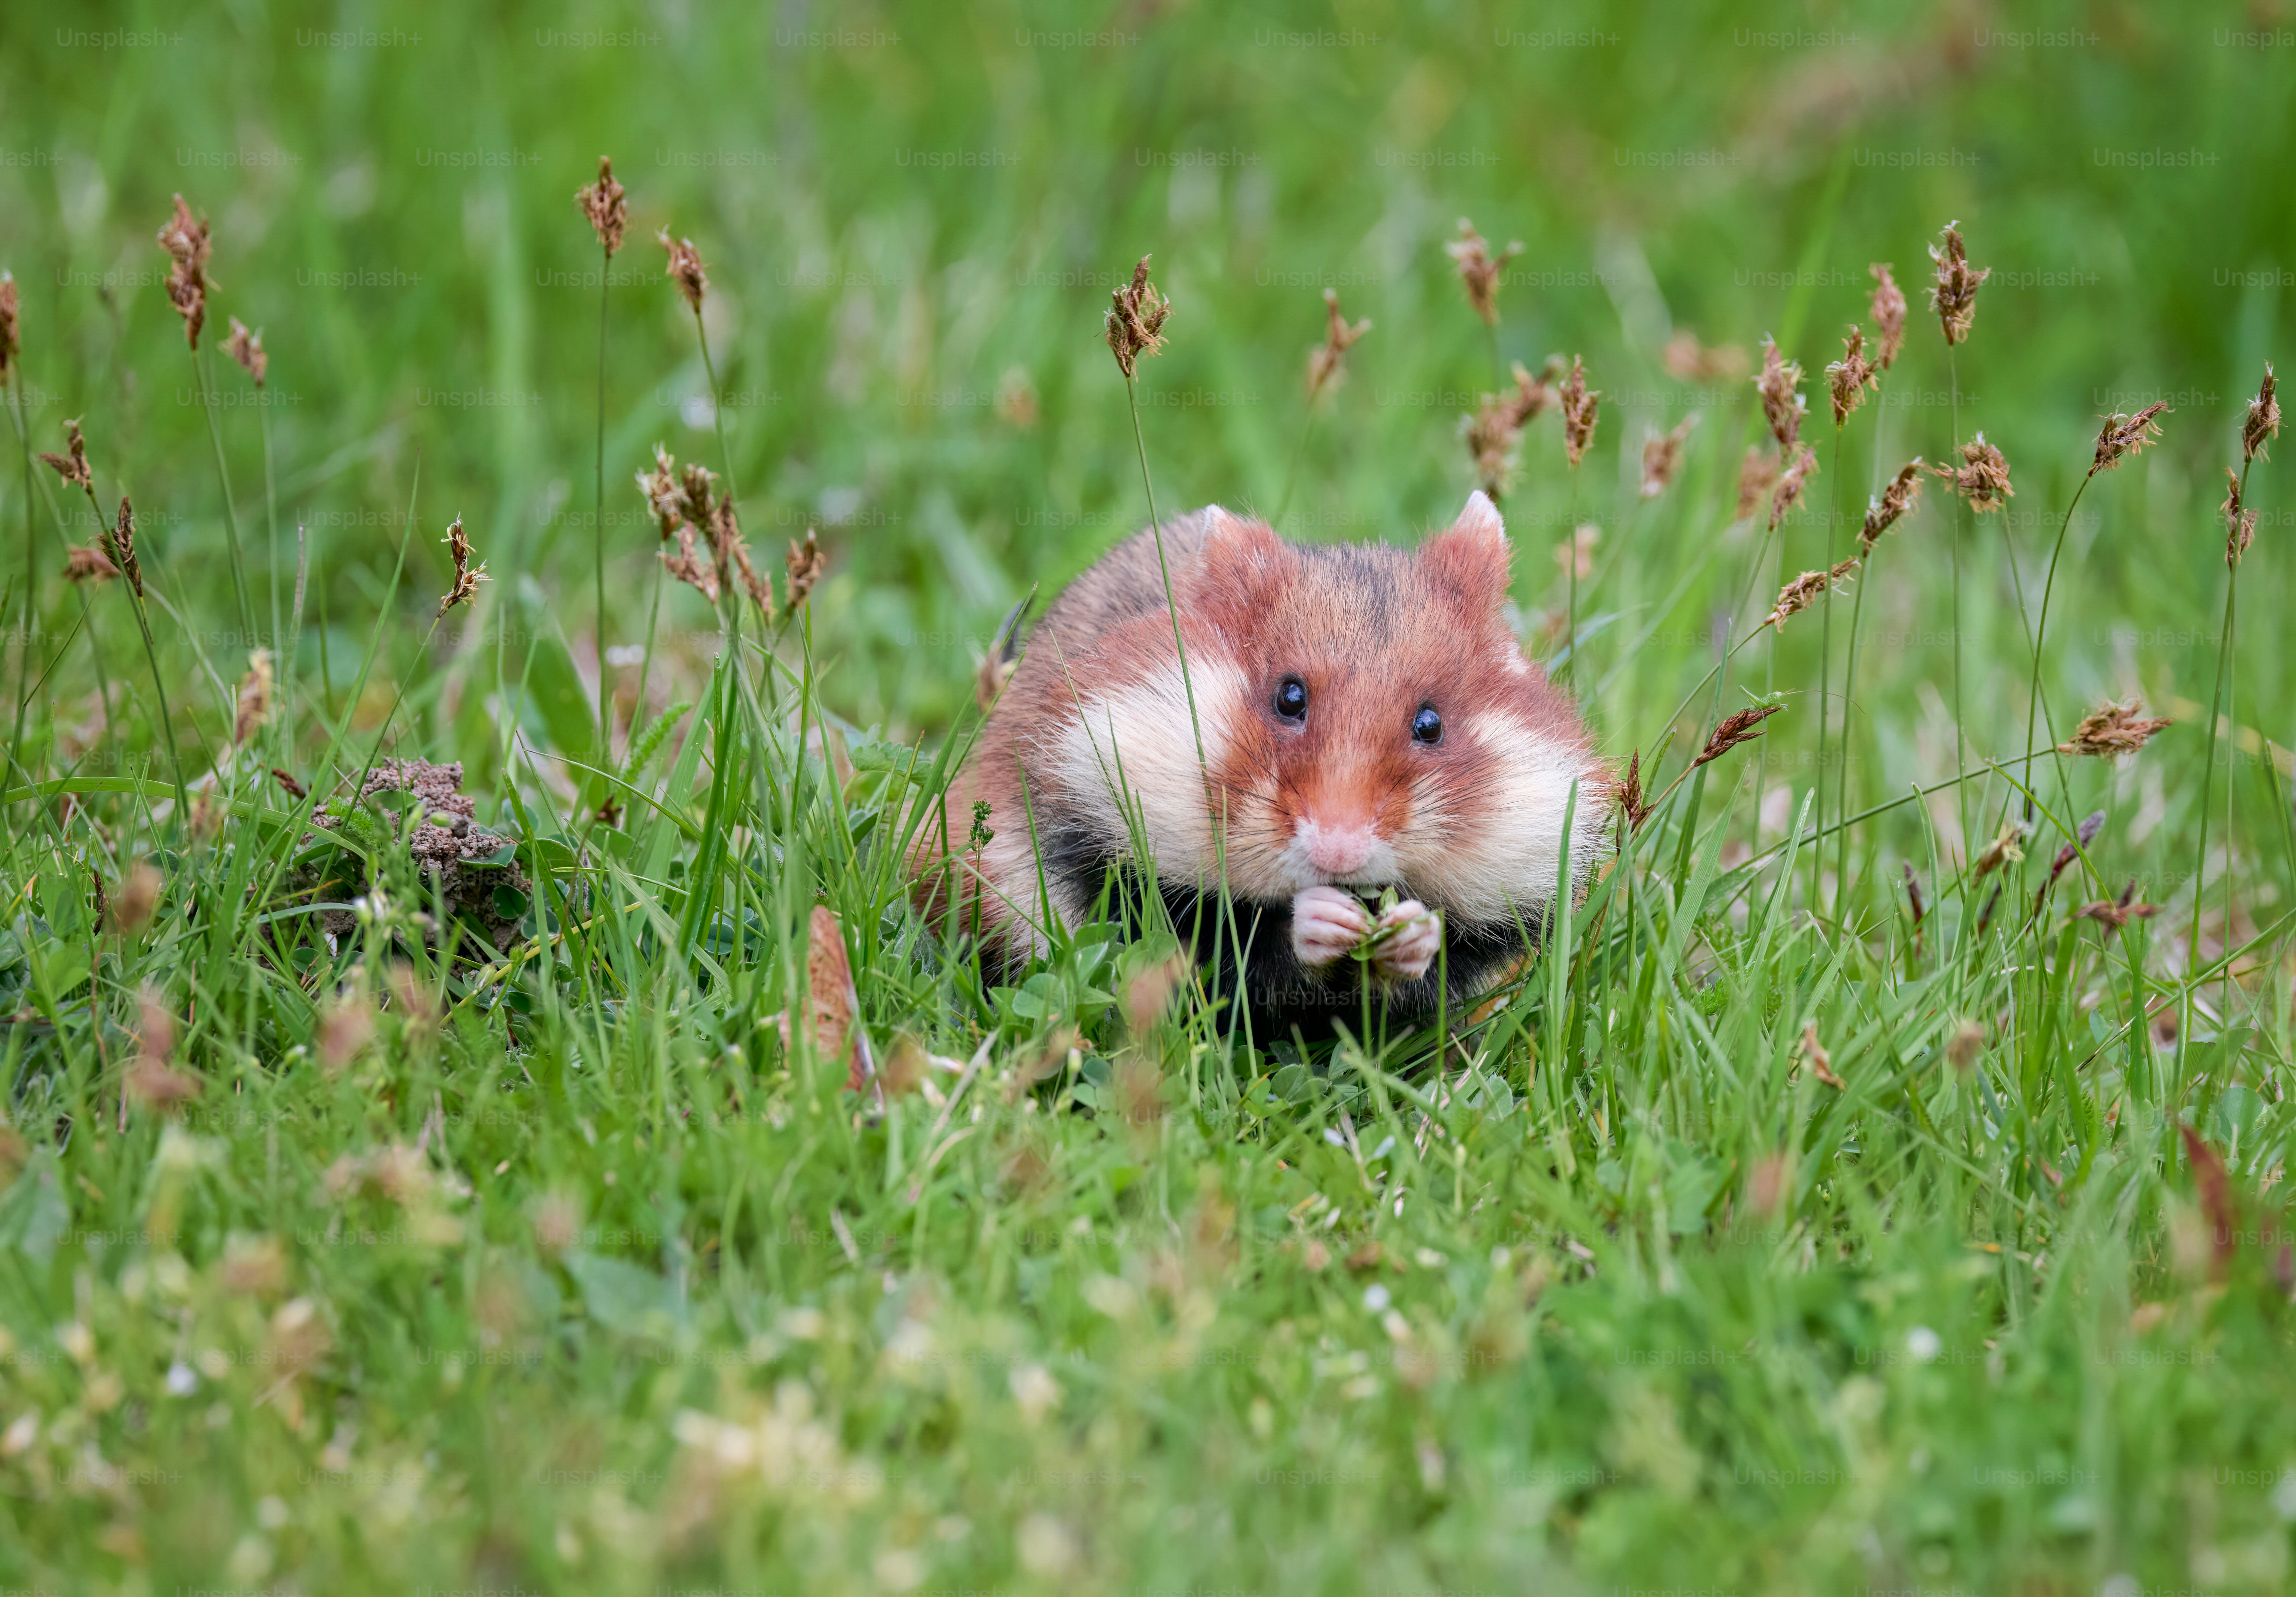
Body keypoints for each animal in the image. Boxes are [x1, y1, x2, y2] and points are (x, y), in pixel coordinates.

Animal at [917, 491, 1613, 1040]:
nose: (1338, 853)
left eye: (1431, 725)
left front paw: (1409, 930)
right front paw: (1324, 918)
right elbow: (1234, 937)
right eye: (1289, 697)